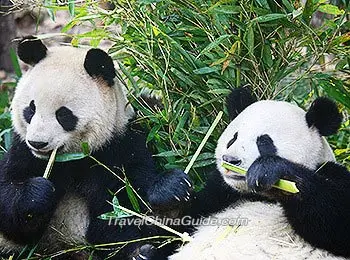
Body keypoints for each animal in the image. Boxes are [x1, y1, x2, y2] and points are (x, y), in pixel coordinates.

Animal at [0, 36, 191, 260]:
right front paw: (38, 193)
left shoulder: (119, 147)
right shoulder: (23, 152)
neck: (72, 159)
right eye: (31, 109)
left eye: (63, 114)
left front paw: (173, 188)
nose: (38, 143)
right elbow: (9, 205)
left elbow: (129, 199)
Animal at [170, 88, 350, 260]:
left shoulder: (331, 172)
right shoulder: (220, 194)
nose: (230, 160)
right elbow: (179, 224)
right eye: (233, 138)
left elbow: (336, 218)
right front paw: (173, 189)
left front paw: (268, 170)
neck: (258, 195)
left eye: (264, 141)